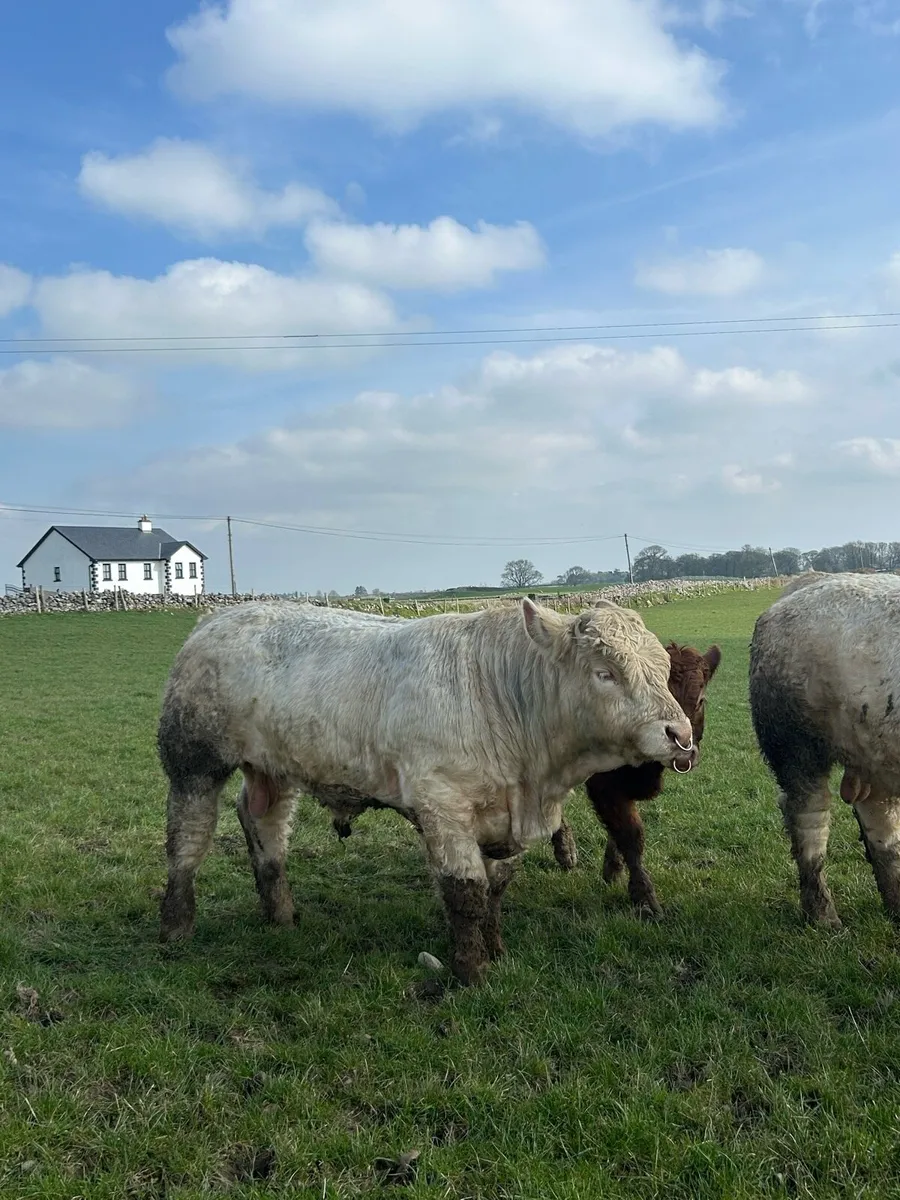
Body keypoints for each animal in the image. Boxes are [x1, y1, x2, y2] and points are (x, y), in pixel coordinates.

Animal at [156, 597, 697, 985]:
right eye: (605, 673)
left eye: (663, 671)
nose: (680, 734)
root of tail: (215, 618)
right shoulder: (443, 805)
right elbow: (466, 891)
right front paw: (470, 972)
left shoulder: (505, 818)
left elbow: (496, 887)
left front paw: (496, 950)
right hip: (193, 763)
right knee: (188, 840)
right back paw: (176, 927)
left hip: (273, 768)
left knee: (264, 825)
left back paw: (281, 912)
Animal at [549, 641, 722, 916]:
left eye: (700, 700)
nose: (684, 752)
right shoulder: (604, 785)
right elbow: (631, 835)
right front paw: (645, 899)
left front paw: (612, 869)